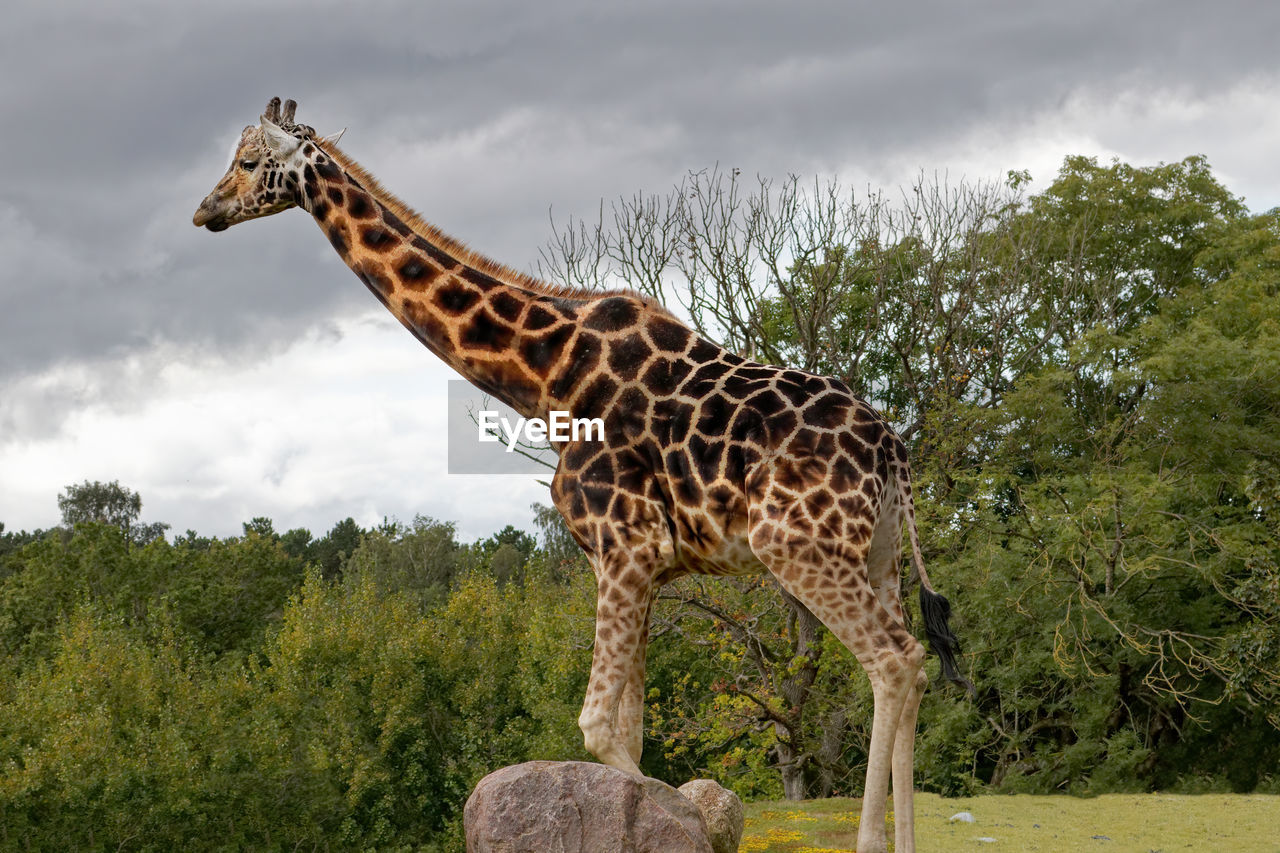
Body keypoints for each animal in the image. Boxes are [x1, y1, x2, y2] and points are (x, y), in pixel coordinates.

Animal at [192, 99, 967, 850]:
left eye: (250, 161)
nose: (205, 210)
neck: (547, 377)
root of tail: (892, 451)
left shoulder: (626, 546)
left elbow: (599, 731)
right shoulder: (641, 561)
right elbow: (630, 731)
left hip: (798, 545)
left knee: (894, 661)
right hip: (877, 552)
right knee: (914, 667)